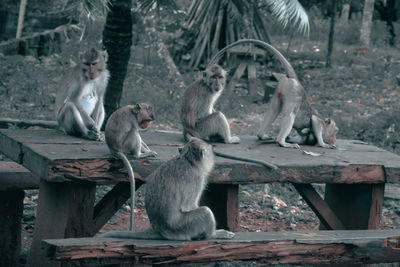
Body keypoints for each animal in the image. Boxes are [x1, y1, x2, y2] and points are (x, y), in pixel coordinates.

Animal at [104, 104, 158, 232]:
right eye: (145, 120)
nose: (145, 126)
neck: (133, 111)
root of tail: (114, 150)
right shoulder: (134, 121)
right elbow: (136, 131)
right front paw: (148, 152)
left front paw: (149, 149)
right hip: (125, 146)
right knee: (133, 133)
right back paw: (139, 155)